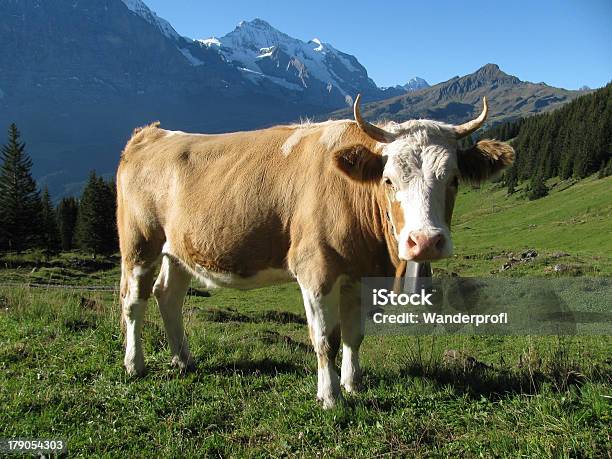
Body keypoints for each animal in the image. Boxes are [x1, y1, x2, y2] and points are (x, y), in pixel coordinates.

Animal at [115, 95, 512, 408]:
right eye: (388, 180)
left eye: (454, 179)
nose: (426, 241)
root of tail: (153, 133)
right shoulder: (317, 270)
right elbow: (326, 339)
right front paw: (331, 397)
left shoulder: (359, 275)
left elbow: (354, 335)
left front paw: (353, 385)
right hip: (139, 243)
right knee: (134, 300)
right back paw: (134, 365)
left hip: (180, 249)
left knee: (168, 295)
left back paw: (183, 360)